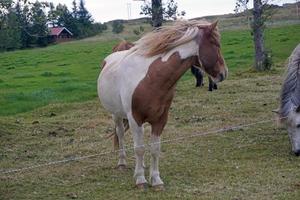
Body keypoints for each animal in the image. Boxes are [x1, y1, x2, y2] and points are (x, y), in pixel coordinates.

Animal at [98, 19, 227, 190]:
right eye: (215, 44)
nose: (223, 73)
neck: (151, 78)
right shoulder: (135, 119)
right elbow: (139, 149)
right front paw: (141, 180)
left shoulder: (160, 119)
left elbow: (154, 148)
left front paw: (156, 180)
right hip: (116, 115)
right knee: (120, 134)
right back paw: (122, 162)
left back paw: (141, 166)